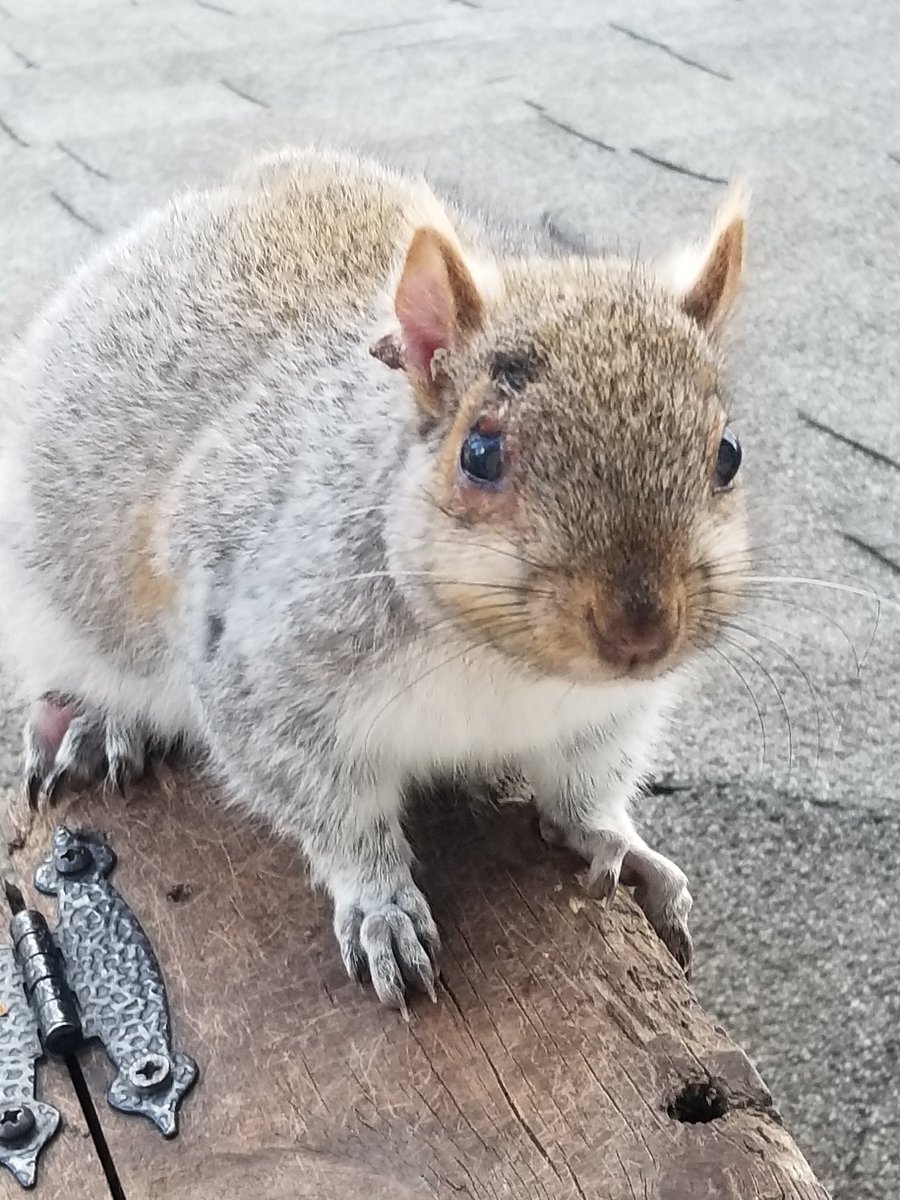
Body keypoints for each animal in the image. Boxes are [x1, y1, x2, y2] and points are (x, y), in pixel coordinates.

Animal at [0, 150, 748, 1012]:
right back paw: (91, 721)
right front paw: (380, 906)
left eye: (728, 454)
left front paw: (622, 846)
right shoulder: (260, 670)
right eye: (479, 453)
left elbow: (584, 788)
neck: (500, 663)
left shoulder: (605, 716)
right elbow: (333, 811)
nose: (642, 631)